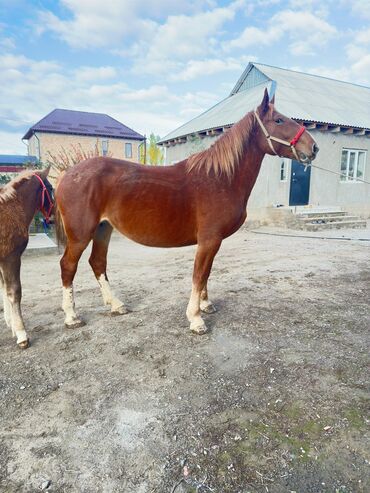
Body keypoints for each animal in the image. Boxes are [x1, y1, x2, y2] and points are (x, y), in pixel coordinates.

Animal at [0, 167, 53, 348]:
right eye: (51, 188)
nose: (53, 217)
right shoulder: (11, 257)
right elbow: (13, 291)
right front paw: (21, 334)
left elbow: (4, 288)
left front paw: (11, 325)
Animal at [55, 89, 318, 334]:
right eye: (279, 120)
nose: (313, 147)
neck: (220, 178)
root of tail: (68, 174)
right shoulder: (209, 240)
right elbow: (199, 275)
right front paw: (196, 318)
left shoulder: (211, 241)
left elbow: (206, 273)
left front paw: (206, 305)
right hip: (80, 235)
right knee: (68, 266)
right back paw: (71, 317)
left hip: (104, 228)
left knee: (97, 262)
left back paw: (116, 305)